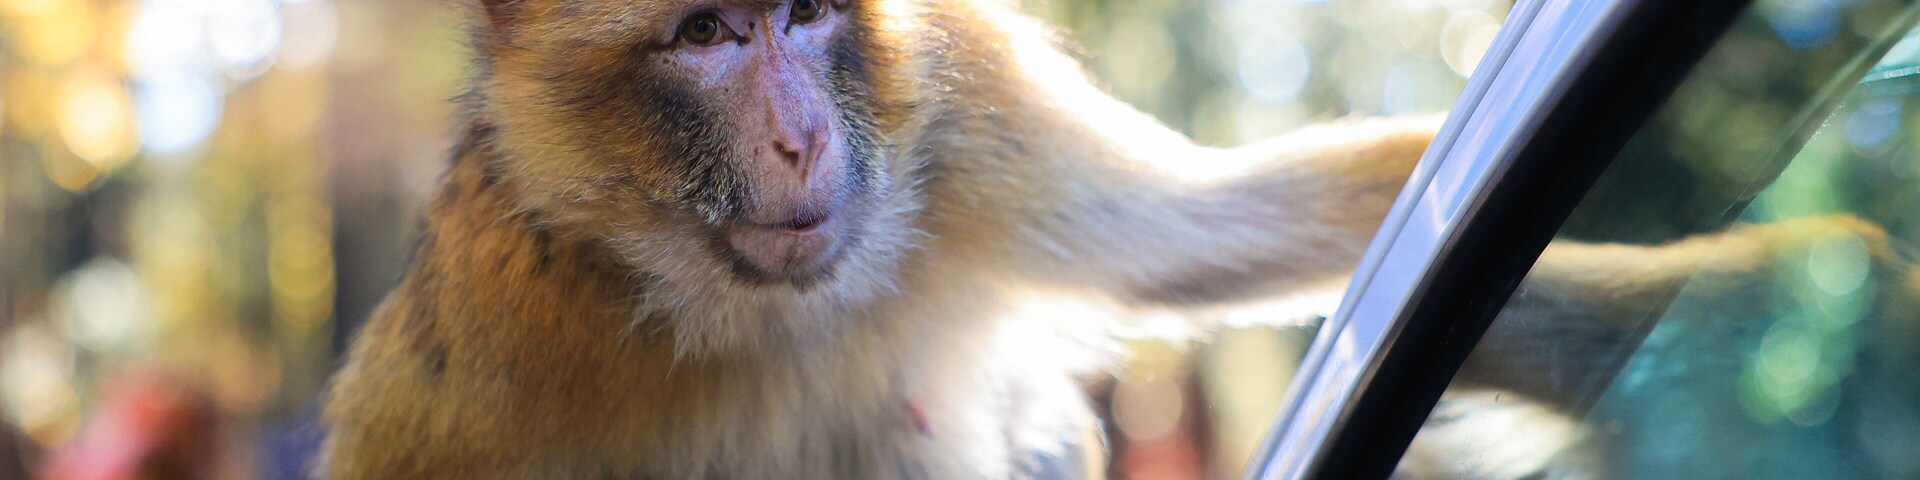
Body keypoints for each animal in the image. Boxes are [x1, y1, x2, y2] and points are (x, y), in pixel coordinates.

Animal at [317, 0, 1917, 477]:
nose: (799, 140)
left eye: (808, 14)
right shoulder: (499, 359)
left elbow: (1234, 233)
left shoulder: (969, 127)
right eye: (708, 32)